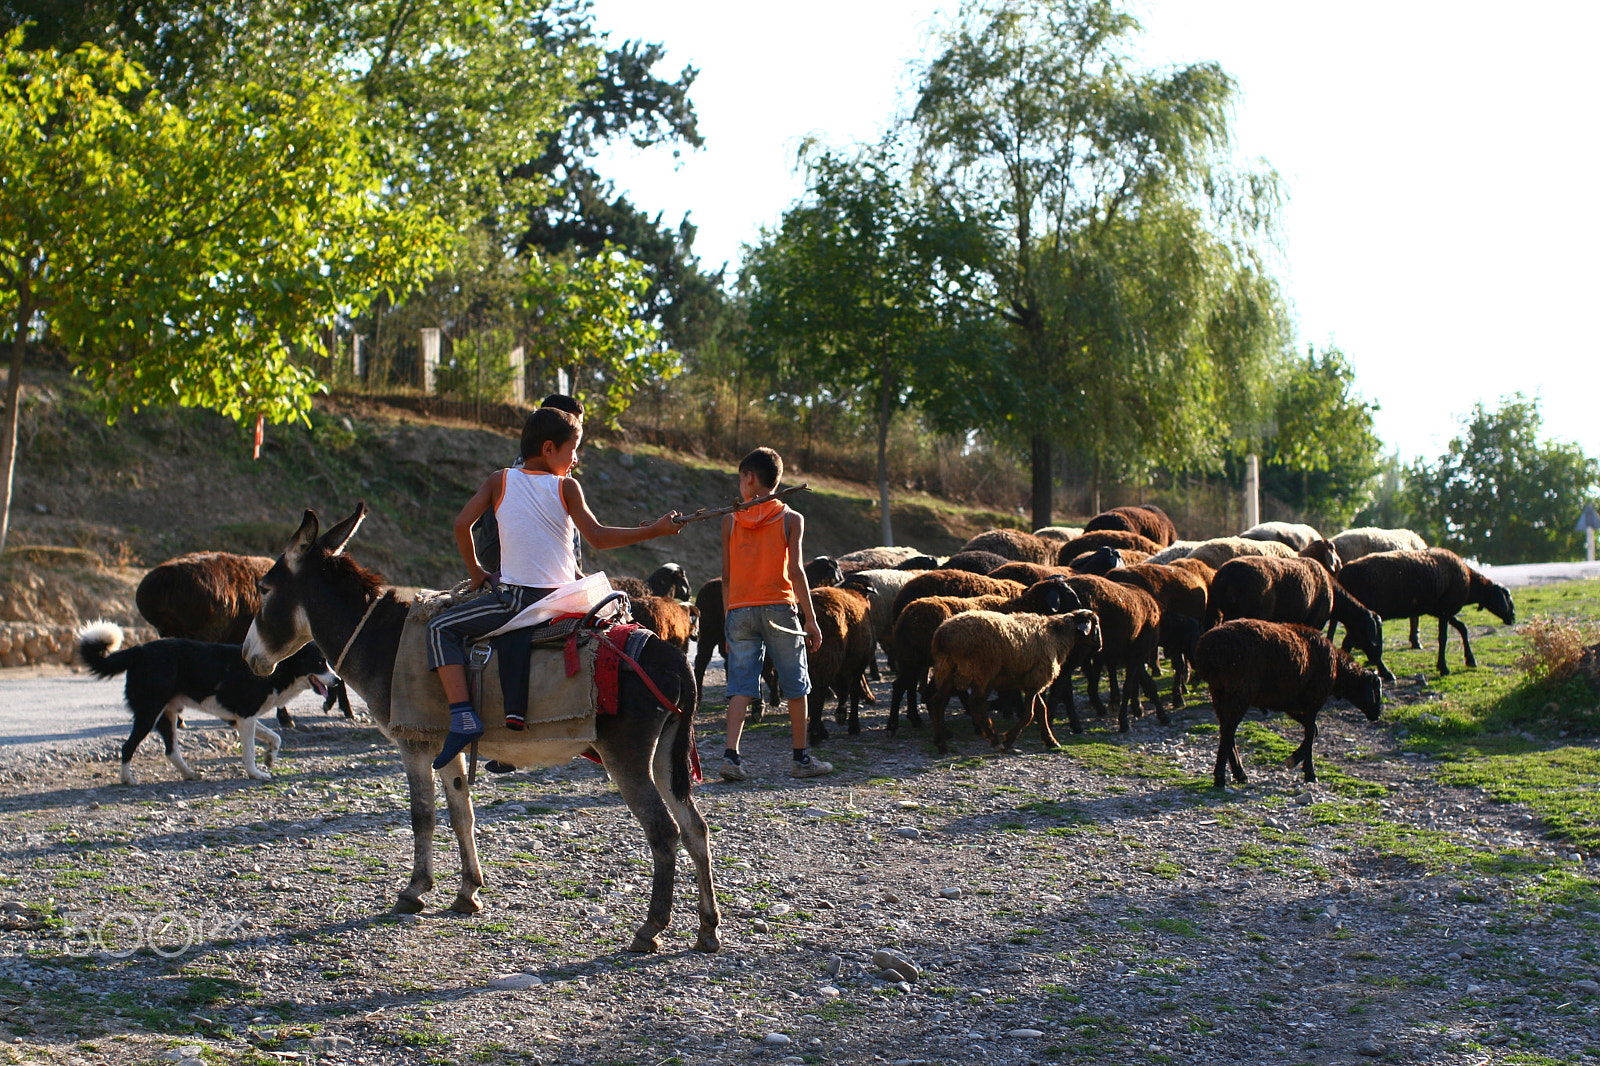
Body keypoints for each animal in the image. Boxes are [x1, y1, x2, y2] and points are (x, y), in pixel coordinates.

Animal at [79, 617, 336, 784]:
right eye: (320, 662)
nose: (336, 681)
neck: (280, 669)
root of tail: (139, 650)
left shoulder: (238, 717)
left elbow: (276, 737)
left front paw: (270, 757)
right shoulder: (245, 717)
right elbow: (250, 751)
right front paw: (256, 773)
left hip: (167, 714)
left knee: (171, 751)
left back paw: (189, 774)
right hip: (149, 712)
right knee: (127, 746)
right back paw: (128, 779)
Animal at [1196, 617, 1382, 784]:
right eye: (1375, 691)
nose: (1377, 715)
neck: (1337, 670)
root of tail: (1208, 649)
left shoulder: (1290, 705)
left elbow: (1314, 730)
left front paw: (1294, 760)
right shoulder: (1314, 700)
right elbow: (1310, 733)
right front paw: (1309, 772)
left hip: (1219, 691)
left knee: (1226, 730)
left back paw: (1239, 774)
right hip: (1240, 690)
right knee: (1229, 730)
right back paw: (1221, 777)